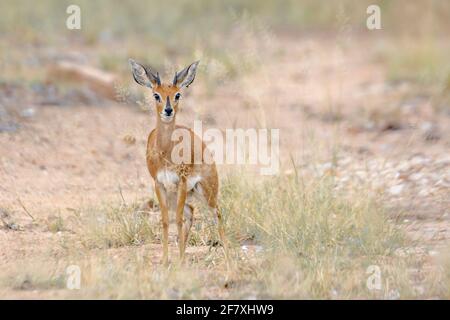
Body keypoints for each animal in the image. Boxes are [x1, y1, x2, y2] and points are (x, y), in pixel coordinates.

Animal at [129, 58, 229, 264]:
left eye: (177, 94)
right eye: (156, 95)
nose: (168, 110)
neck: (166, 151)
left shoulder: (181, 182)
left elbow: (178, 219)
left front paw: (177, 261)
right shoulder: (159, 183)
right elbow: (166, 220)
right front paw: (165, 260)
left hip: (205, 190)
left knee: (216, 214)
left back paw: (230, 262)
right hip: (179, 193)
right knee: (191, 212)